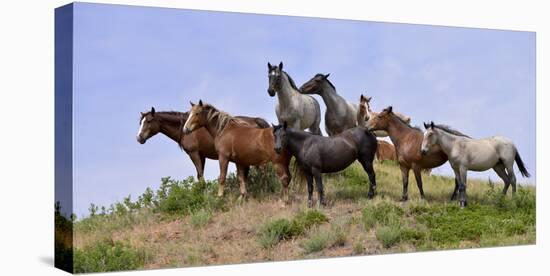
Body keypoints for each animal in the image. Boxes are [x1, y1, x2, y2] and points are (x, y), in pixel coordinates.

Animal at [138, 106, 272, 180]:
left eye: (148, 121)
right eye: (141, 122)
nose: (139, 137)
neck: (187, 130)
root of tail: (255, 121)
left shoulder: (194, 153)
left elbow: (200, 175)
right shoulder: (202, 156)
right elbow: (199, 175)